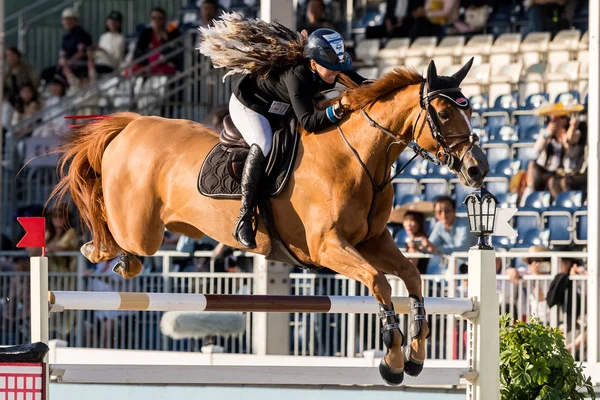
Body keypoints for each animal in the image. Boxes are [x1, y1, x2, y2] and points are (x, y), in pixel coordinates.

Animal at [51, 59, 490, 384]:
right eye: (444, 111)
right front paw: (393, 360)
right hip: (141, 229)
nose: (478, 169)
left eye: (470, 109)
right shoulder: (327, 247)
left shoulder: (373, 241)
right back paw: (96, 247)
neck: (358, 158)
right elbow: (380, 283)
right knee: (112, 227)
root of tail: (132, 124)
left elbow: (411, 277)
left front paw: (415, 355)